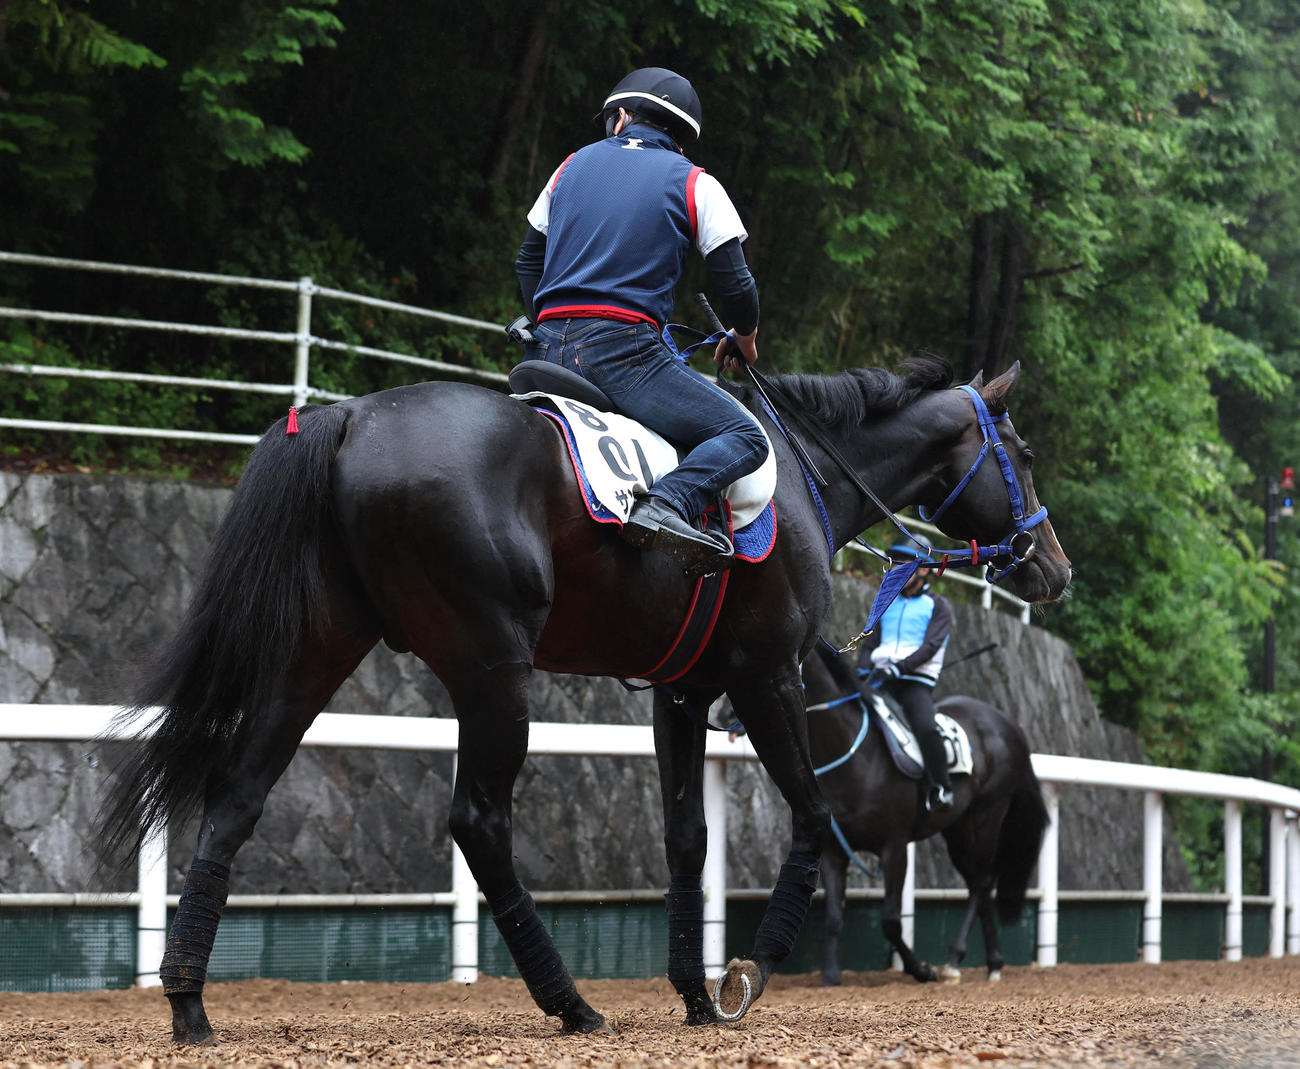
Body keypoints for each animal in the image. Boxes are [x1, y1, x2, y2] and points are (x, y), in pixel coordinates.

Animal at [804, 642, 1049, 986]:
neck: (855, 757)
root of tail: (1009, 724)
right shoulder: (834, 849)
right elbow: (834, 916)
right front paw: (830, 974)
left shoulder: (894, 846)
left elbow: (891, 921)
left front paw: (920, 969)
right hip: (958, 829)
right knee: (978, 881)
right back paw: (993, 962)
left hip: (988, 813)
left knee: (982, 882)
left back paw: (955, 960)